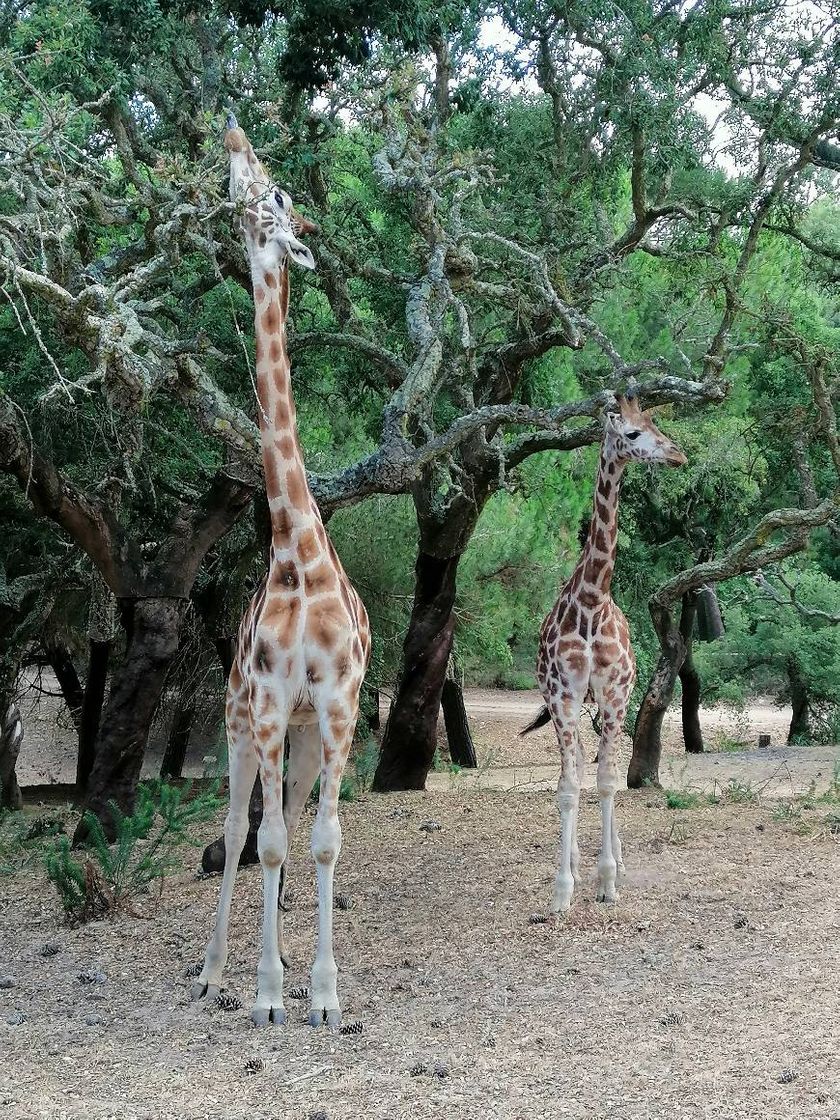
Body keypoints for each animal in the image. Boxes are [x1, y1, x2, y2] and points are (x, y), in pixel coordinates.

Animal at [526, 398, 689, 913]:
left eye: (656, 423)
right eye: (632, 433)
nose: (677, 455)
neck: (593, 601)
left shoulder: (616, 695)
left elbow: (608, 781)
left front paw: (608, 879)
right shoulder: (563, 694)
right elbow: (568, 787)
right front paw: (563, 889)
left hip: (607, 703)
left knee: (600, 767)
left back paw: (611, 856)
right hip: (572, 704)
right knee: (579, 763)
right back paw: (578, 862)